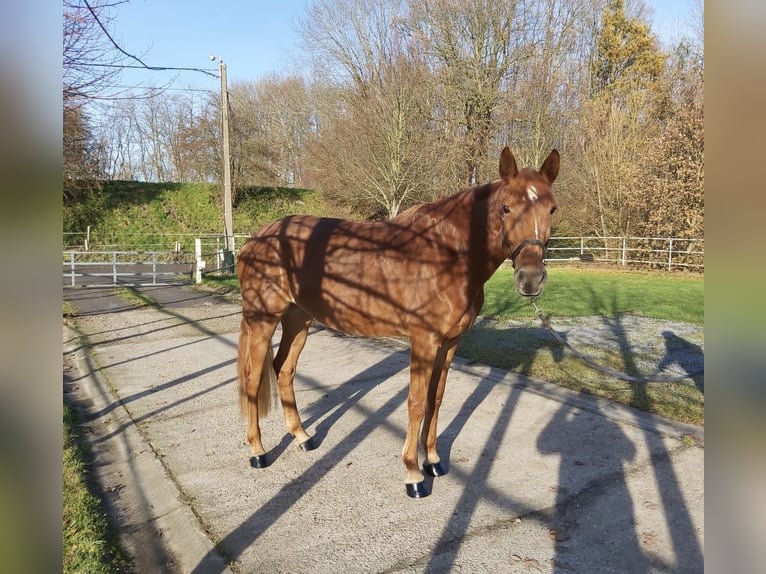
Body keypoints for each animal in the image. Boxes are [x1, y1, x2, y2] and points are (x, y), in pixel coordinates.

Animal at [237, 147, 560, 500]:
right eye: (506, 208)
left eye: (552, 209)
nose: (531, 279)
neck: (445, 255)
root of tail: (255, 241)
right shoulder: (423, 341)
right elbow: (416, 403)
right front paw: (413, 475)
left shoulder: (449, 344)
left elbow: (436, 400)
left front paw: (433, 461)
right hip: (263, 319)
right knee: (253, 379)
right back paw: (257, 452)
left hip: (299, 319)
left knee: (284, 370)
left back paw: (302, 437)